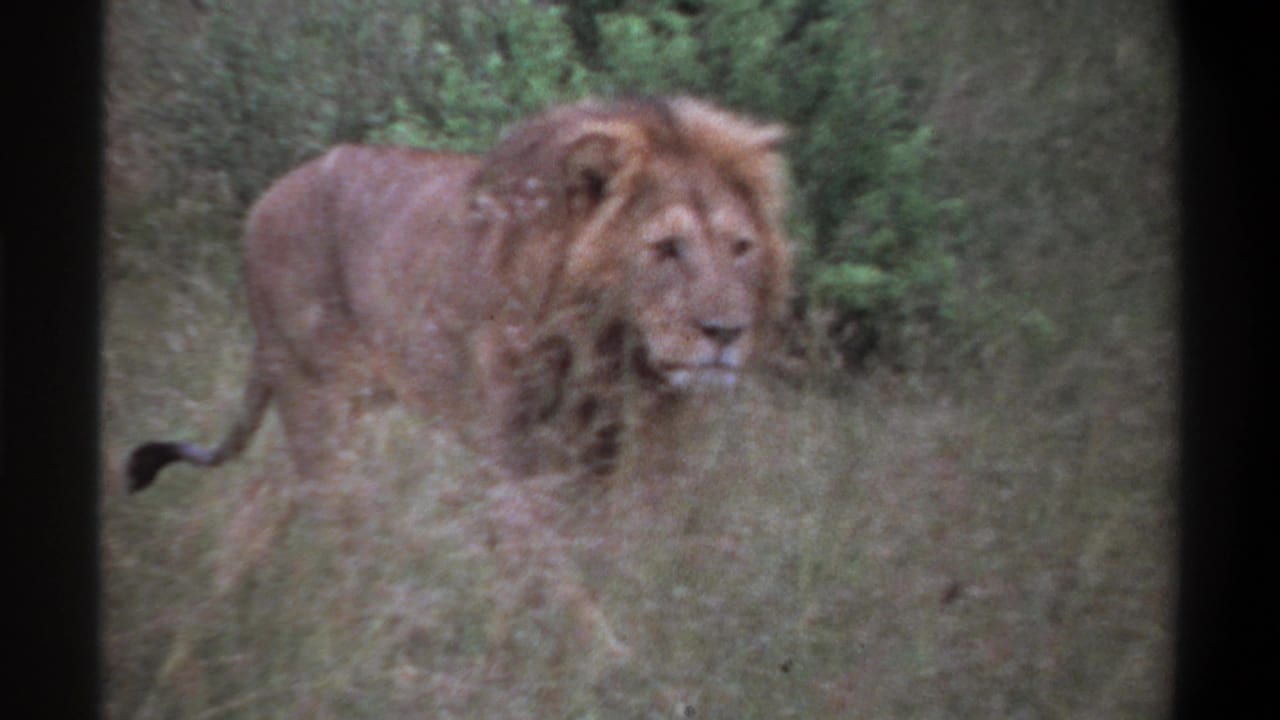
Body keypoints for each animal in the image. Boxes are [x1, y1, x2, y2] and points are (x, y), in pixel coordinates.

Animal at [127, 96, 791, 491]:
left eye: (741, 248)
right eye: (667, 248)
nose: (727, 333)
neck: (602, 342)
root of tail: (262, 202)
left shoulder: (593, 454)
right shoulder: (508, 461)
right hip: (318, 407)